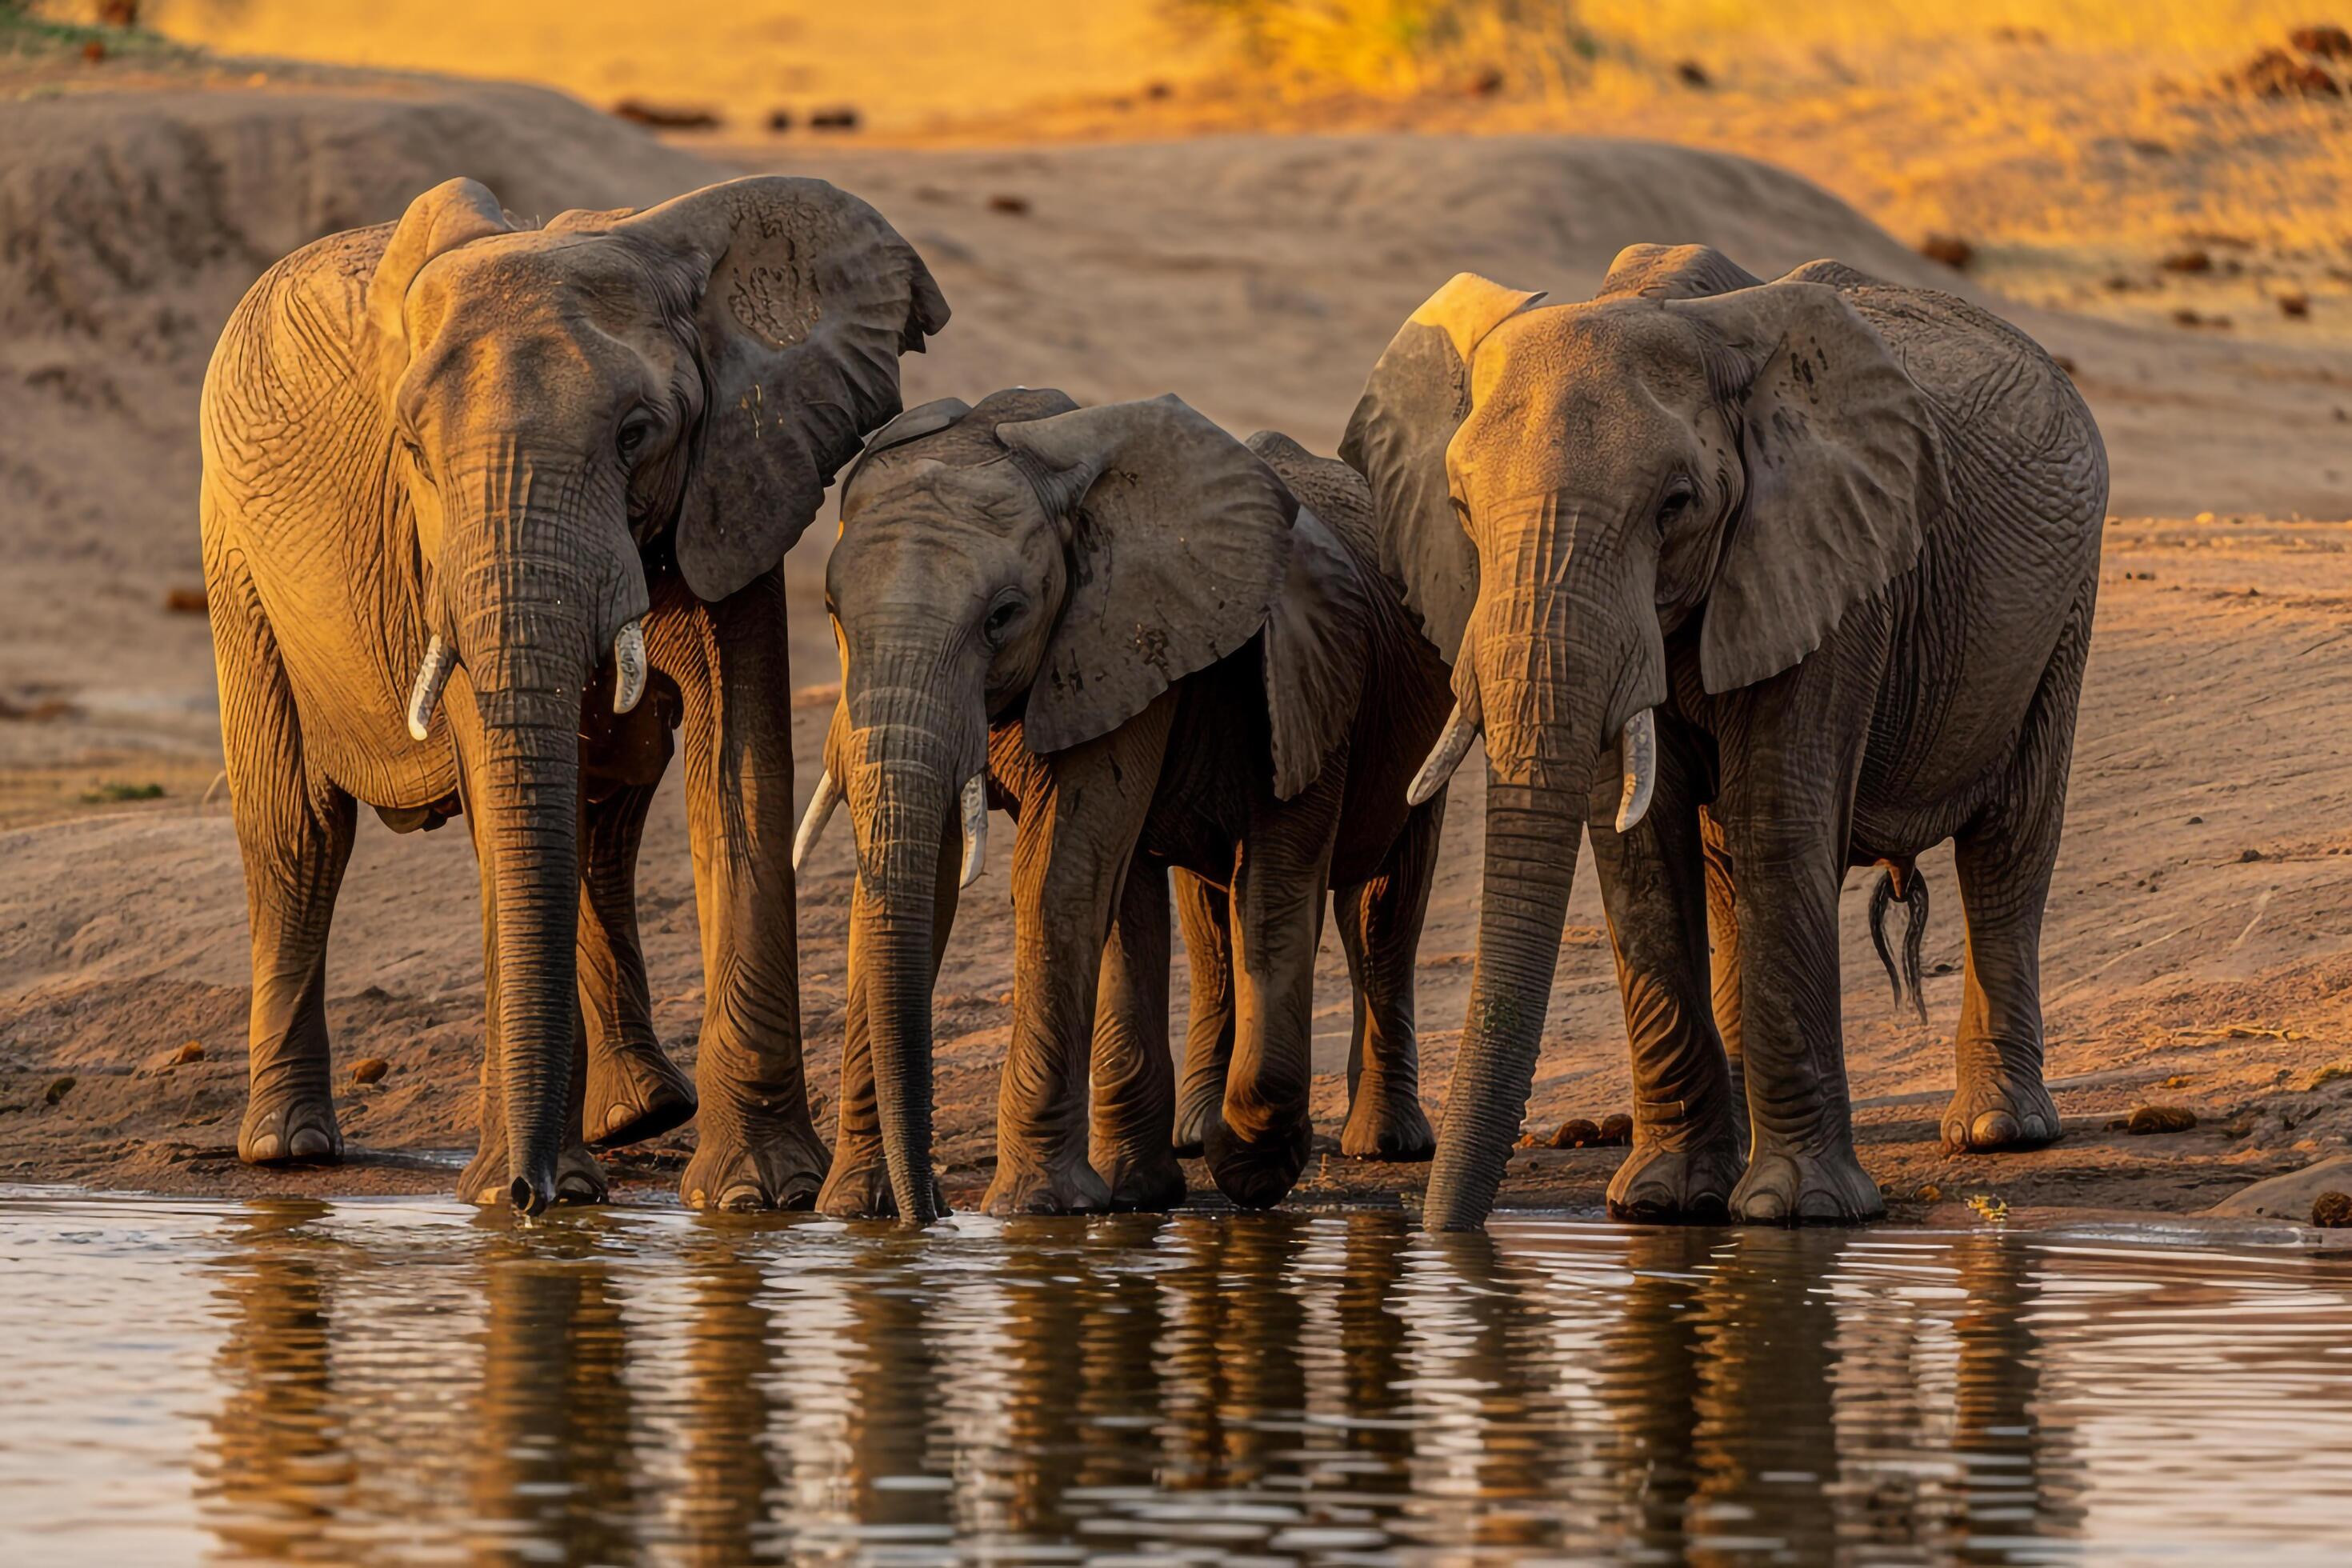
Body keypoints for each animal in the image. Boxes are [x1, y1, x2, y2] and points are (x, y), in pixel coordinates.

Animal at [195, 174, 945, 1213]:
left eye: (637, 435)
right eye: (411, 447)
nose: (530, 1193)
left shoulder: (739, 476)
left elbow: (742, 772)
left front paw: (759, 1196)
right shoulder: (441, 553)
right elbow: (496, 777)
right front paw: (511, 1193)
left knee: (602, 817)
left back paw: (637, 1117)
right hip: (235, 559)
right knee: (296, 831)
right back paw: (289, 1150)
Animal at [790, 385, 1449, 1222]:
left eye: (1003, 616)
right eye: (833, 614)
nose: (930, 1215)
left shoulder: (1128, 640)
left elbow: (1067, 878)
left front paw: (1047, 1207)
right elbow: (958, 882)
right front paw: (854, 1211)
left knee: (1376, 905)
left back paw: (1379, 1145)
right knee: (1190, 909)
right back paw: (1167, 1161)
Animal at [1345, 246, 2117, 1231]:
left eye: (1676, 504)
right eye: (1460, 507)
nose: (1441, 1233)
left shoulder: (1832, 567)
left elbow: (1782, 821)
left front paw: (1800, 1211)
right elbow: (1638, 842)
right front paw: (1665, 1202)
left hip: (2063, 611)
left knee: (2009, 848)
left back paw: (1997, 1131)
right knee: (1725, 871)